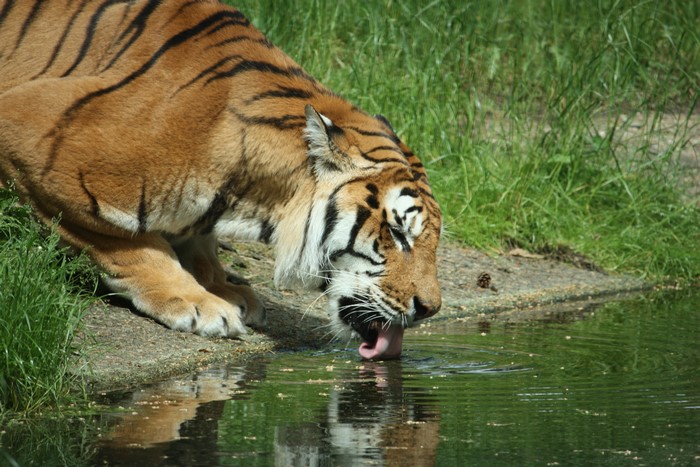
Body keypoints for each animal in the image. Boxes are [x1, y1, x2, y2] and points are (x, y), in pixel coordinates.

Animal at [0, 0, 442, 360]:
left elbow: (199, 240)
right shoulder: (34, 140)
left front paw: (224, 287)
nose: (431, 309)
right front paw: (201, 305)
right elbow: (133, 245)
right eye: (397, 233)